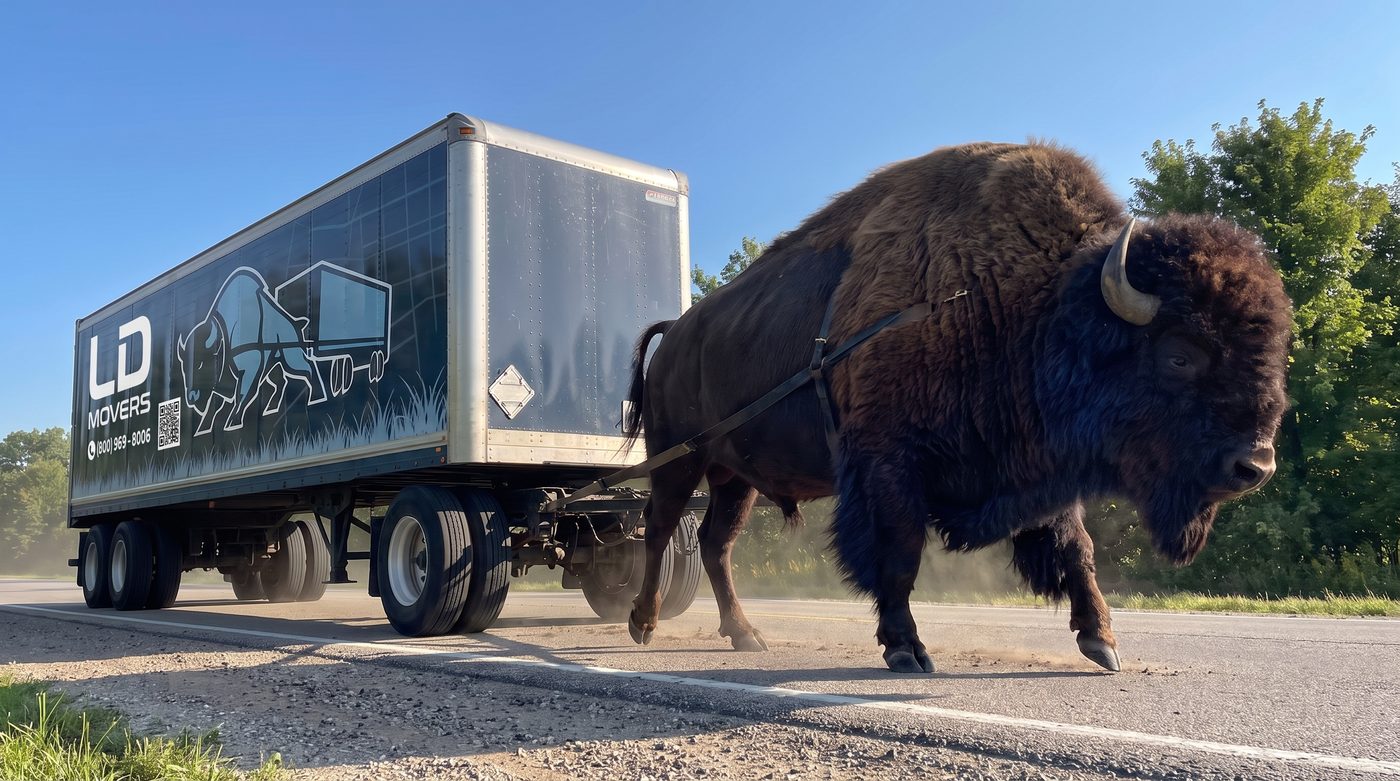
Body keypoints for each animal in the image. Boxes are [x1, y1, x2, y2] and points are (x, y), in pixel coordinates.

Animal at [621, 142, 1291, 673]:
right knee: (660, 530)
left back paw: (745, 635)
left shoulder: (1037, 468)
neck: (1031, 304)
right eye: (1179, 355)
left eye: (1274, 349)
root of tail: (675, 334)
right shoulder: (889, 464)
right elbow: (898, 555)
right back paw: (643, 624)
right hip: (678, 461)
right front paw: (906, 650)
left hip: (735, 475)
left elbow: (1076, 549)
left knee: (716, 544)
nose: (1256, 467)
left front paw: (1102, 643)